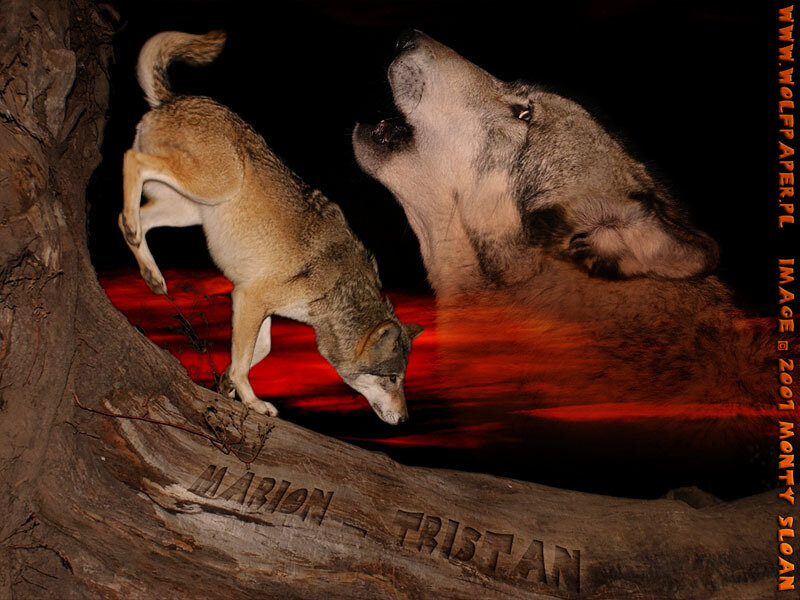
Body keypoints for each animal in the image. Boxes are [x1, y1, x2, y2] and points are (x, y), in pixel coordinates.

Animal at [120, 30, 422, 425]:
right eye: (391, 378)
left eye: (402, 379)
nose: (404, 420)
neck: (336, 290)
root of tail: (176, 98)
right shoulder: (247, 297)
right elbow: (244, 363)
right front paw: (252, 402)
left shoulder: (257, 306)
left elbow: (253, 354)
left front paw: (226, 386)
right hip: (216, 183)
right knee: (132, 161)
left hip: (190, 208)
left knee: (133, 217)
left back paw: (151, 272)